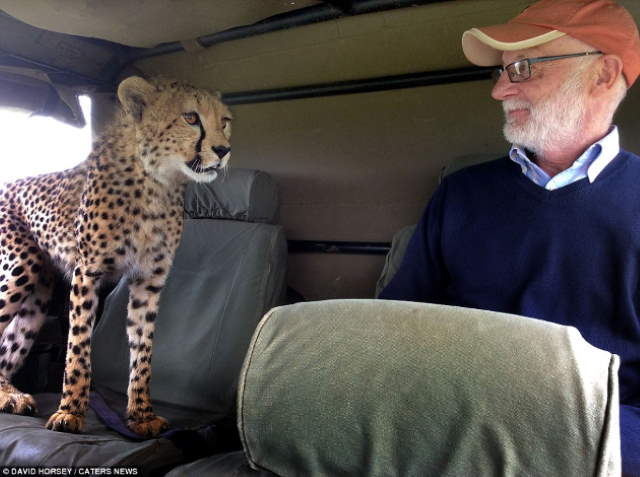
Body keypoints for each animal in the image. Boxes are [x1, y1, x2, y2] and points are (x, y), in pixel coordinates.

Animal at [0, 75, 232, 436]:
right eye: (191, 117)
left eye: (225, 121)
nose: (223, 150)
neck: (157, 183)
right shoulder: (87, 271)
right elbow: (79, 346)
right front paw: (70, 412)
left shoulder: (149, 280)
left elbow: (143, 350)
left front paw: (142, 415)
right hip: (19, 269)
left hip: (36, 298)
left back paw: (10, 395)